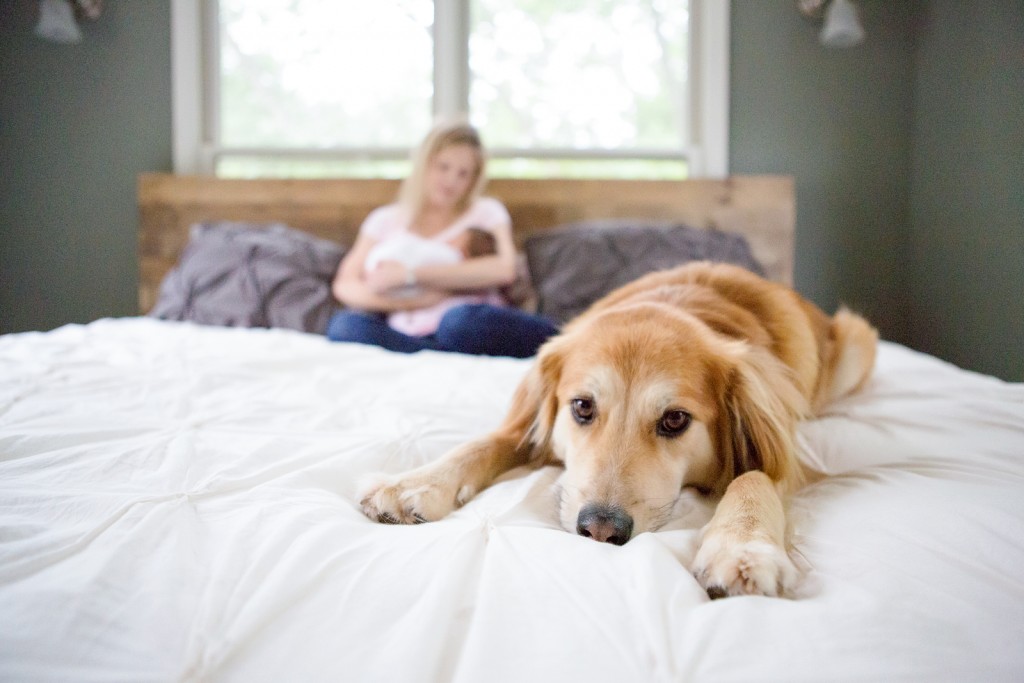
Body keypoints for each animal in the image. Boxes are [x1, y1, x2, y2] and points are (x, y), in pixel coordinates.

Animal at [356, 262, 876, 598]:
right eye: (582, 407)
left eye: (674, 419)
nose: (600, 530)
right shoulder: (529, 430)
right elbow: (486, 442)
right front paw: (413, 483)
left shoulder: (784, 453)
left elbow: (754, 476)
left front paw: (743, 547)